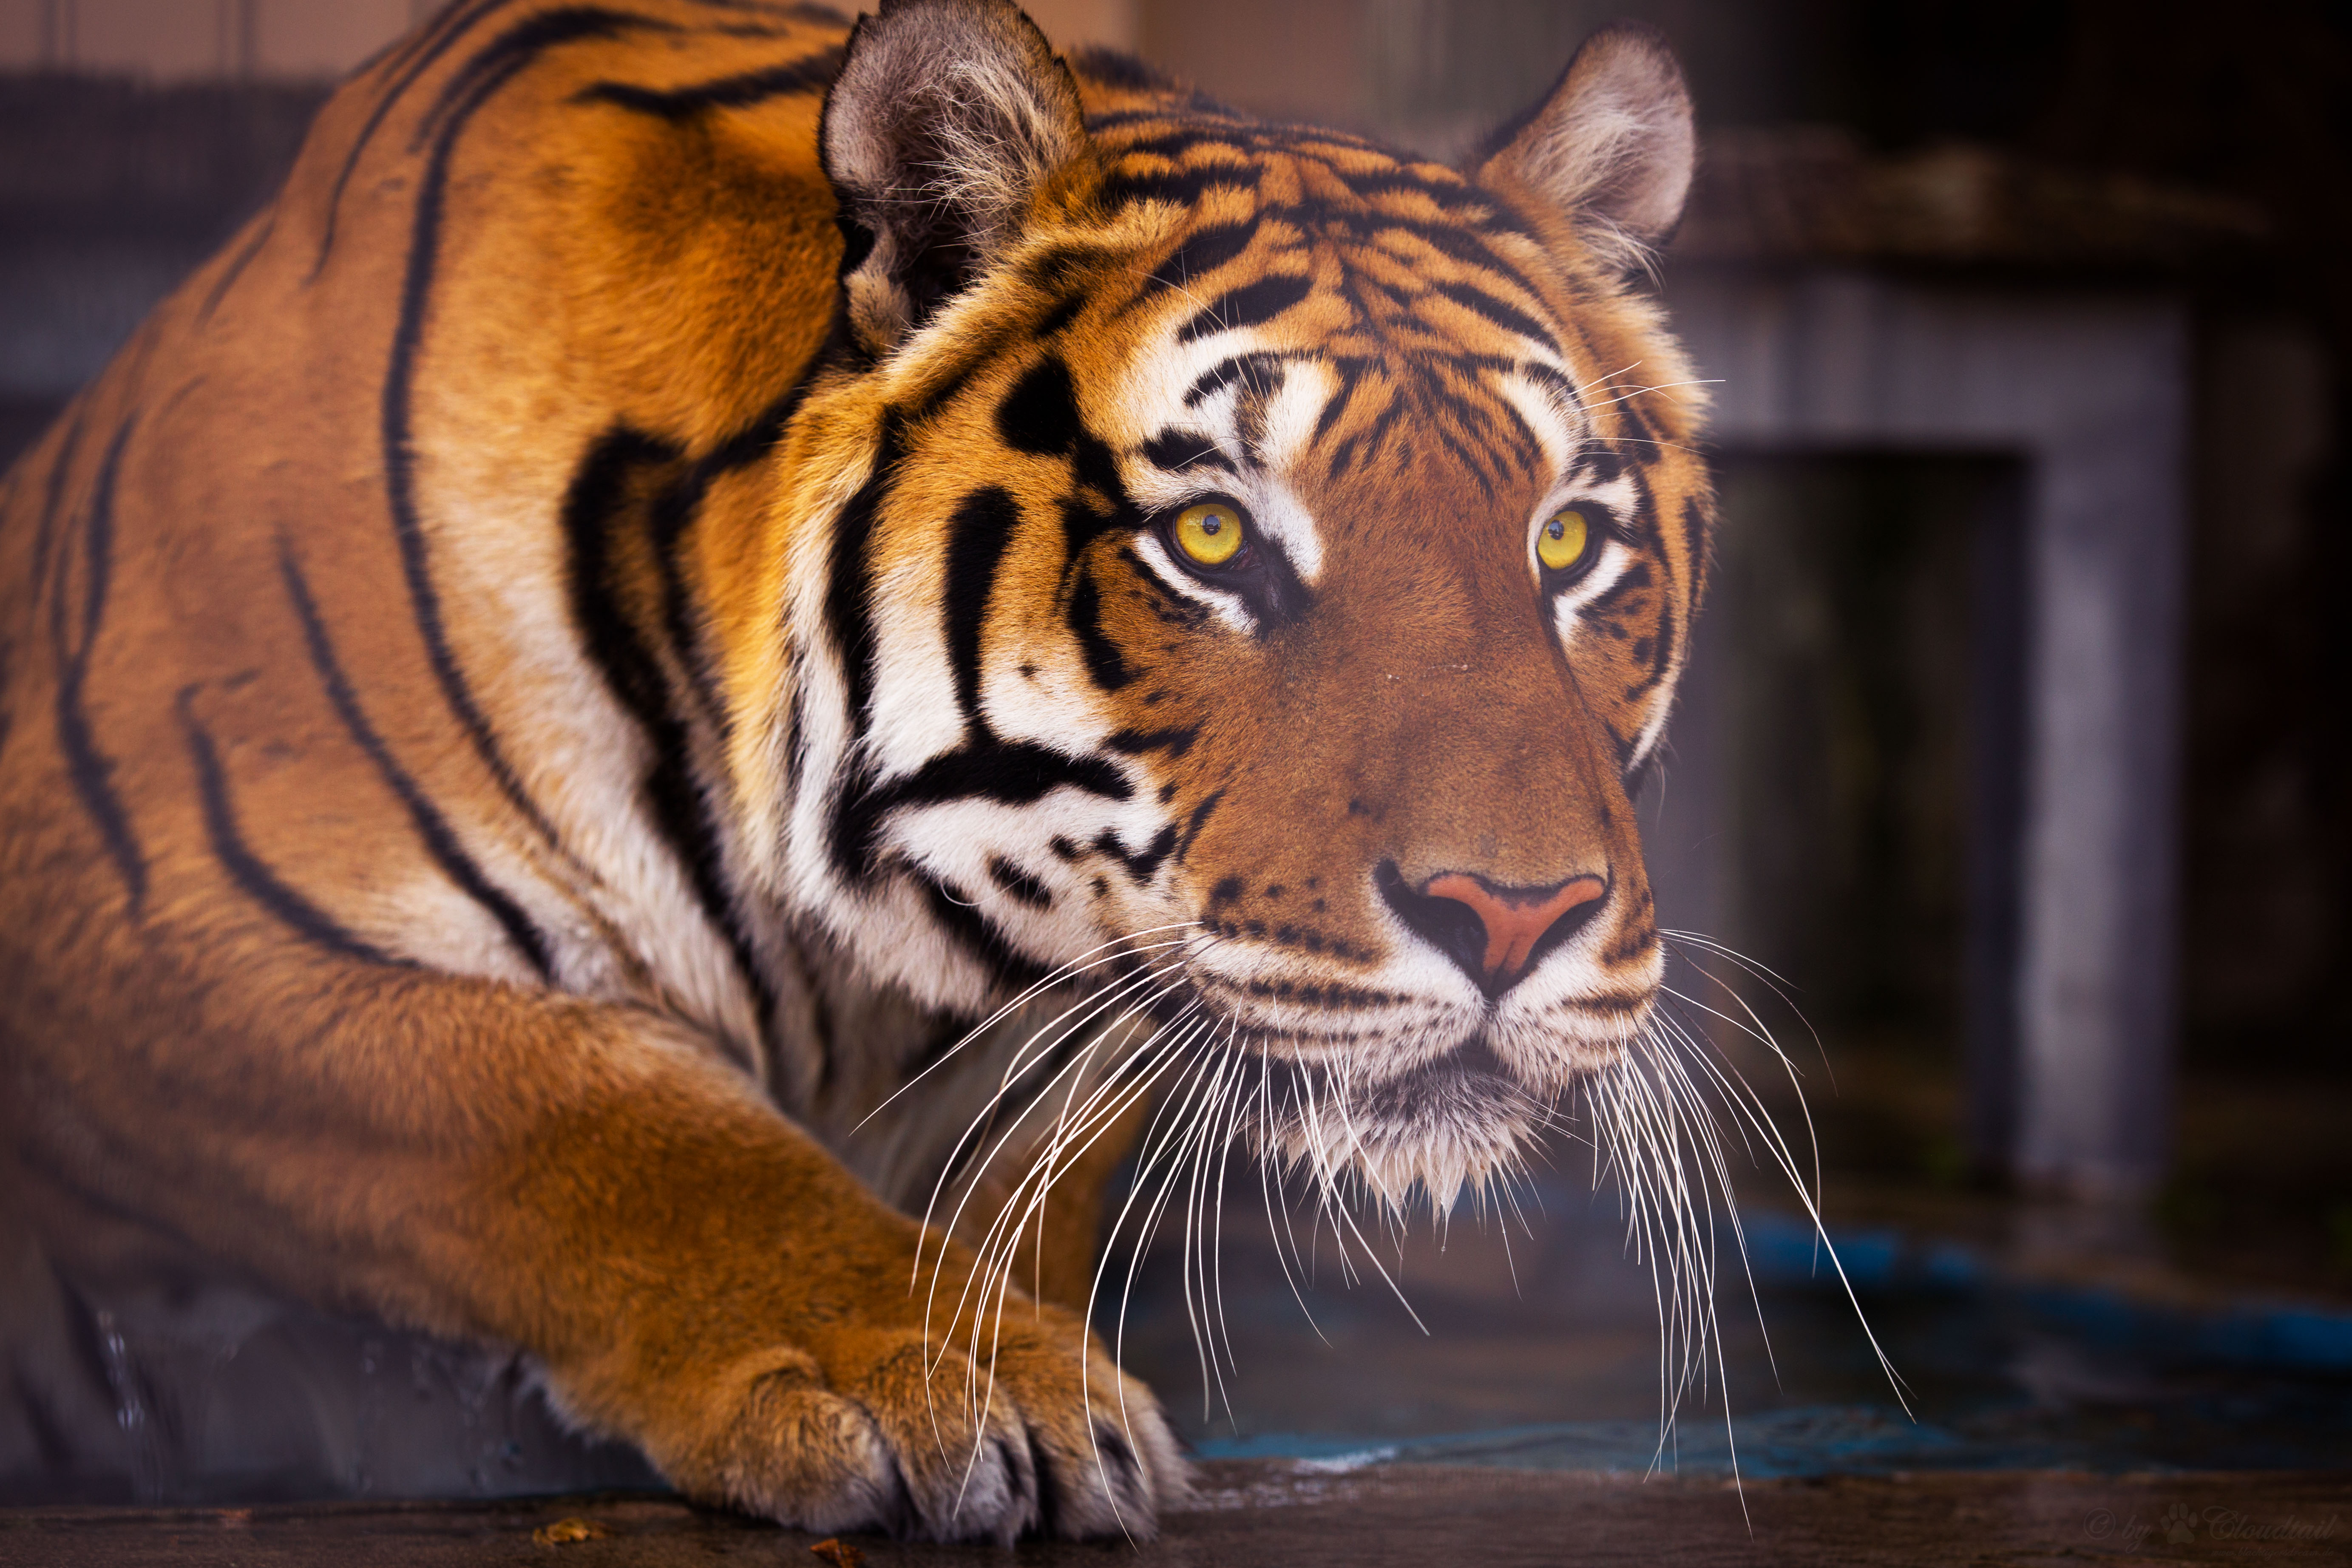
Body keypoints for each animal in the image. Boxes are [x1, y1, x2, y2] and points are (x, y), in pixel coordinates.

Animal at [0, 0, 1702, 1542]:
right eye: (1212, 536)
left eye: (1566, 541)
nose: (1513, 915)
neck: (861, 960)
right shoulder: (151, 934)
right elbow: (611, 1118)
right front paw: (945, 1377)